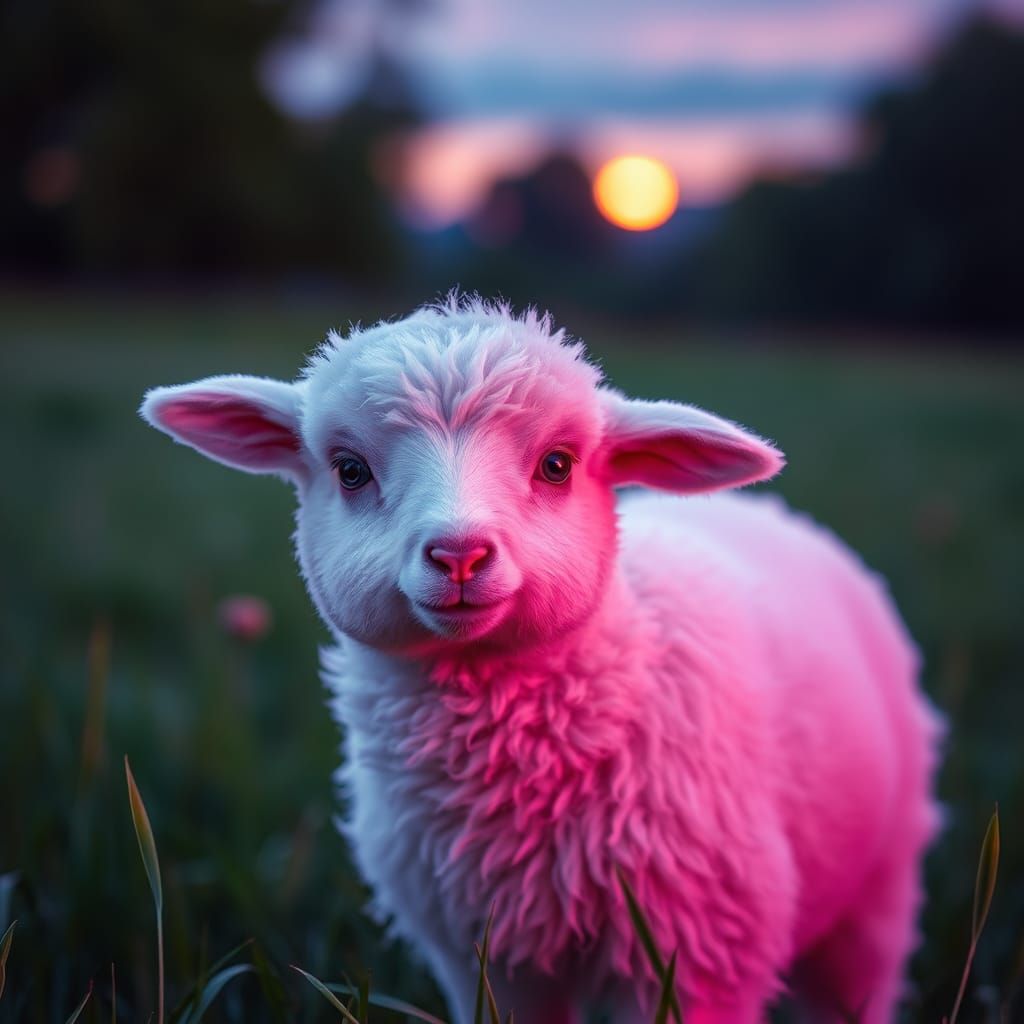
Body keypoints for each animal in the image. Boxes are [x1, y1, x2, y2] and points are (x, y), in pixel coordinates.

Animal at [141, 296, 943, 1024]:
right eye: (349, 469)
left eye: (557, 465)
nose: (458, 554)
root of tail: (766, 511)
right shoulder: (483, 956)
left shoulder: (695, 954)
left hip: (881, 884)